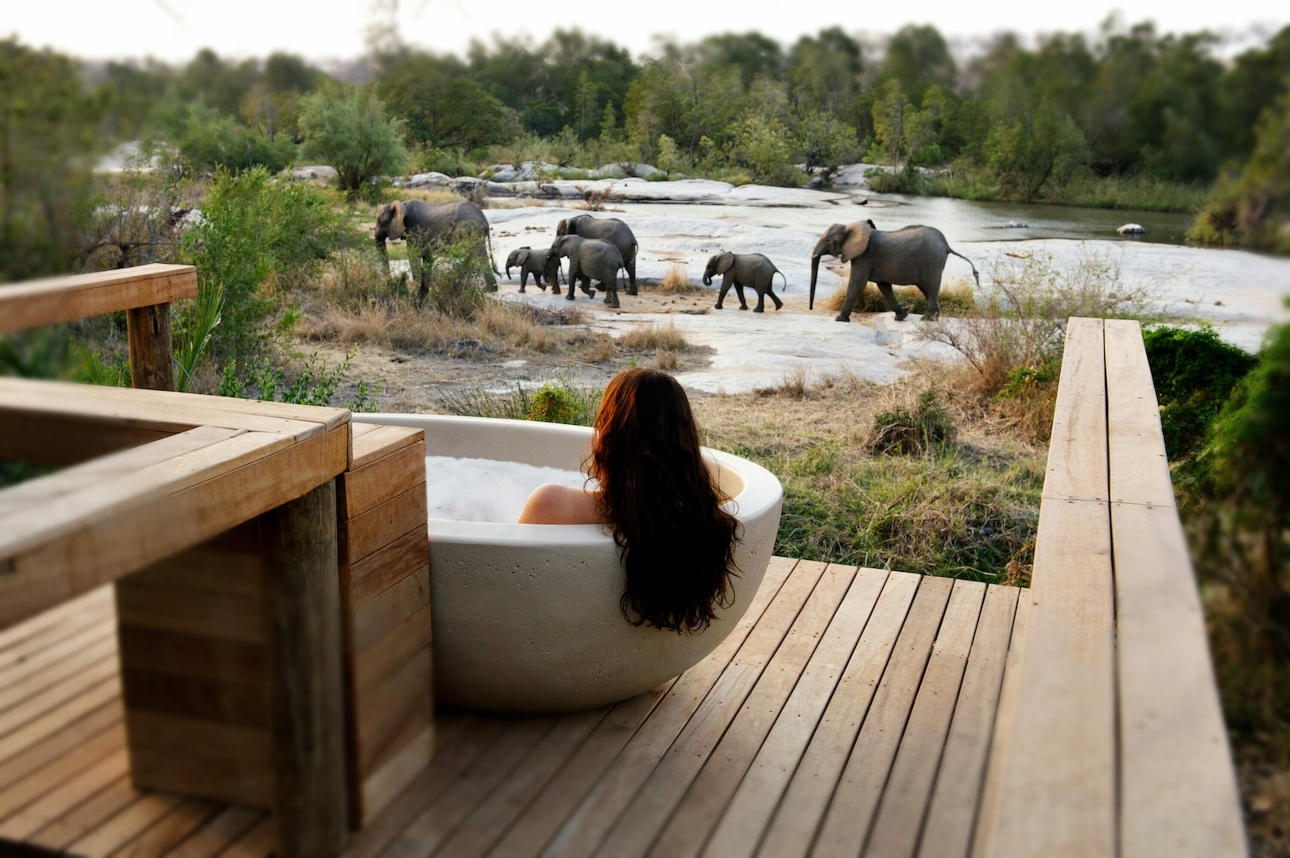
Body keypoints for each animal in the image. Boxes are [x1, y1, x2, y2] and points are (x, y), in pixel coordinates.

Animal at [809, 220, 979, 322]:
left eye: (828, 240)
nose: (811, 309)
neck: (851, 227)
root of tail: (946, 245)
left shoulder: (864, 256)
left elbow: (857, 283)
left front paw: (840, 319)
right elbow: (884, 286)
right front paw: (901, 317)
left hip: (931, 260)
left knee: (931, 287)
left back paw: (928, 319)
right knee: (928, 289)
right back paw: (937, 317)